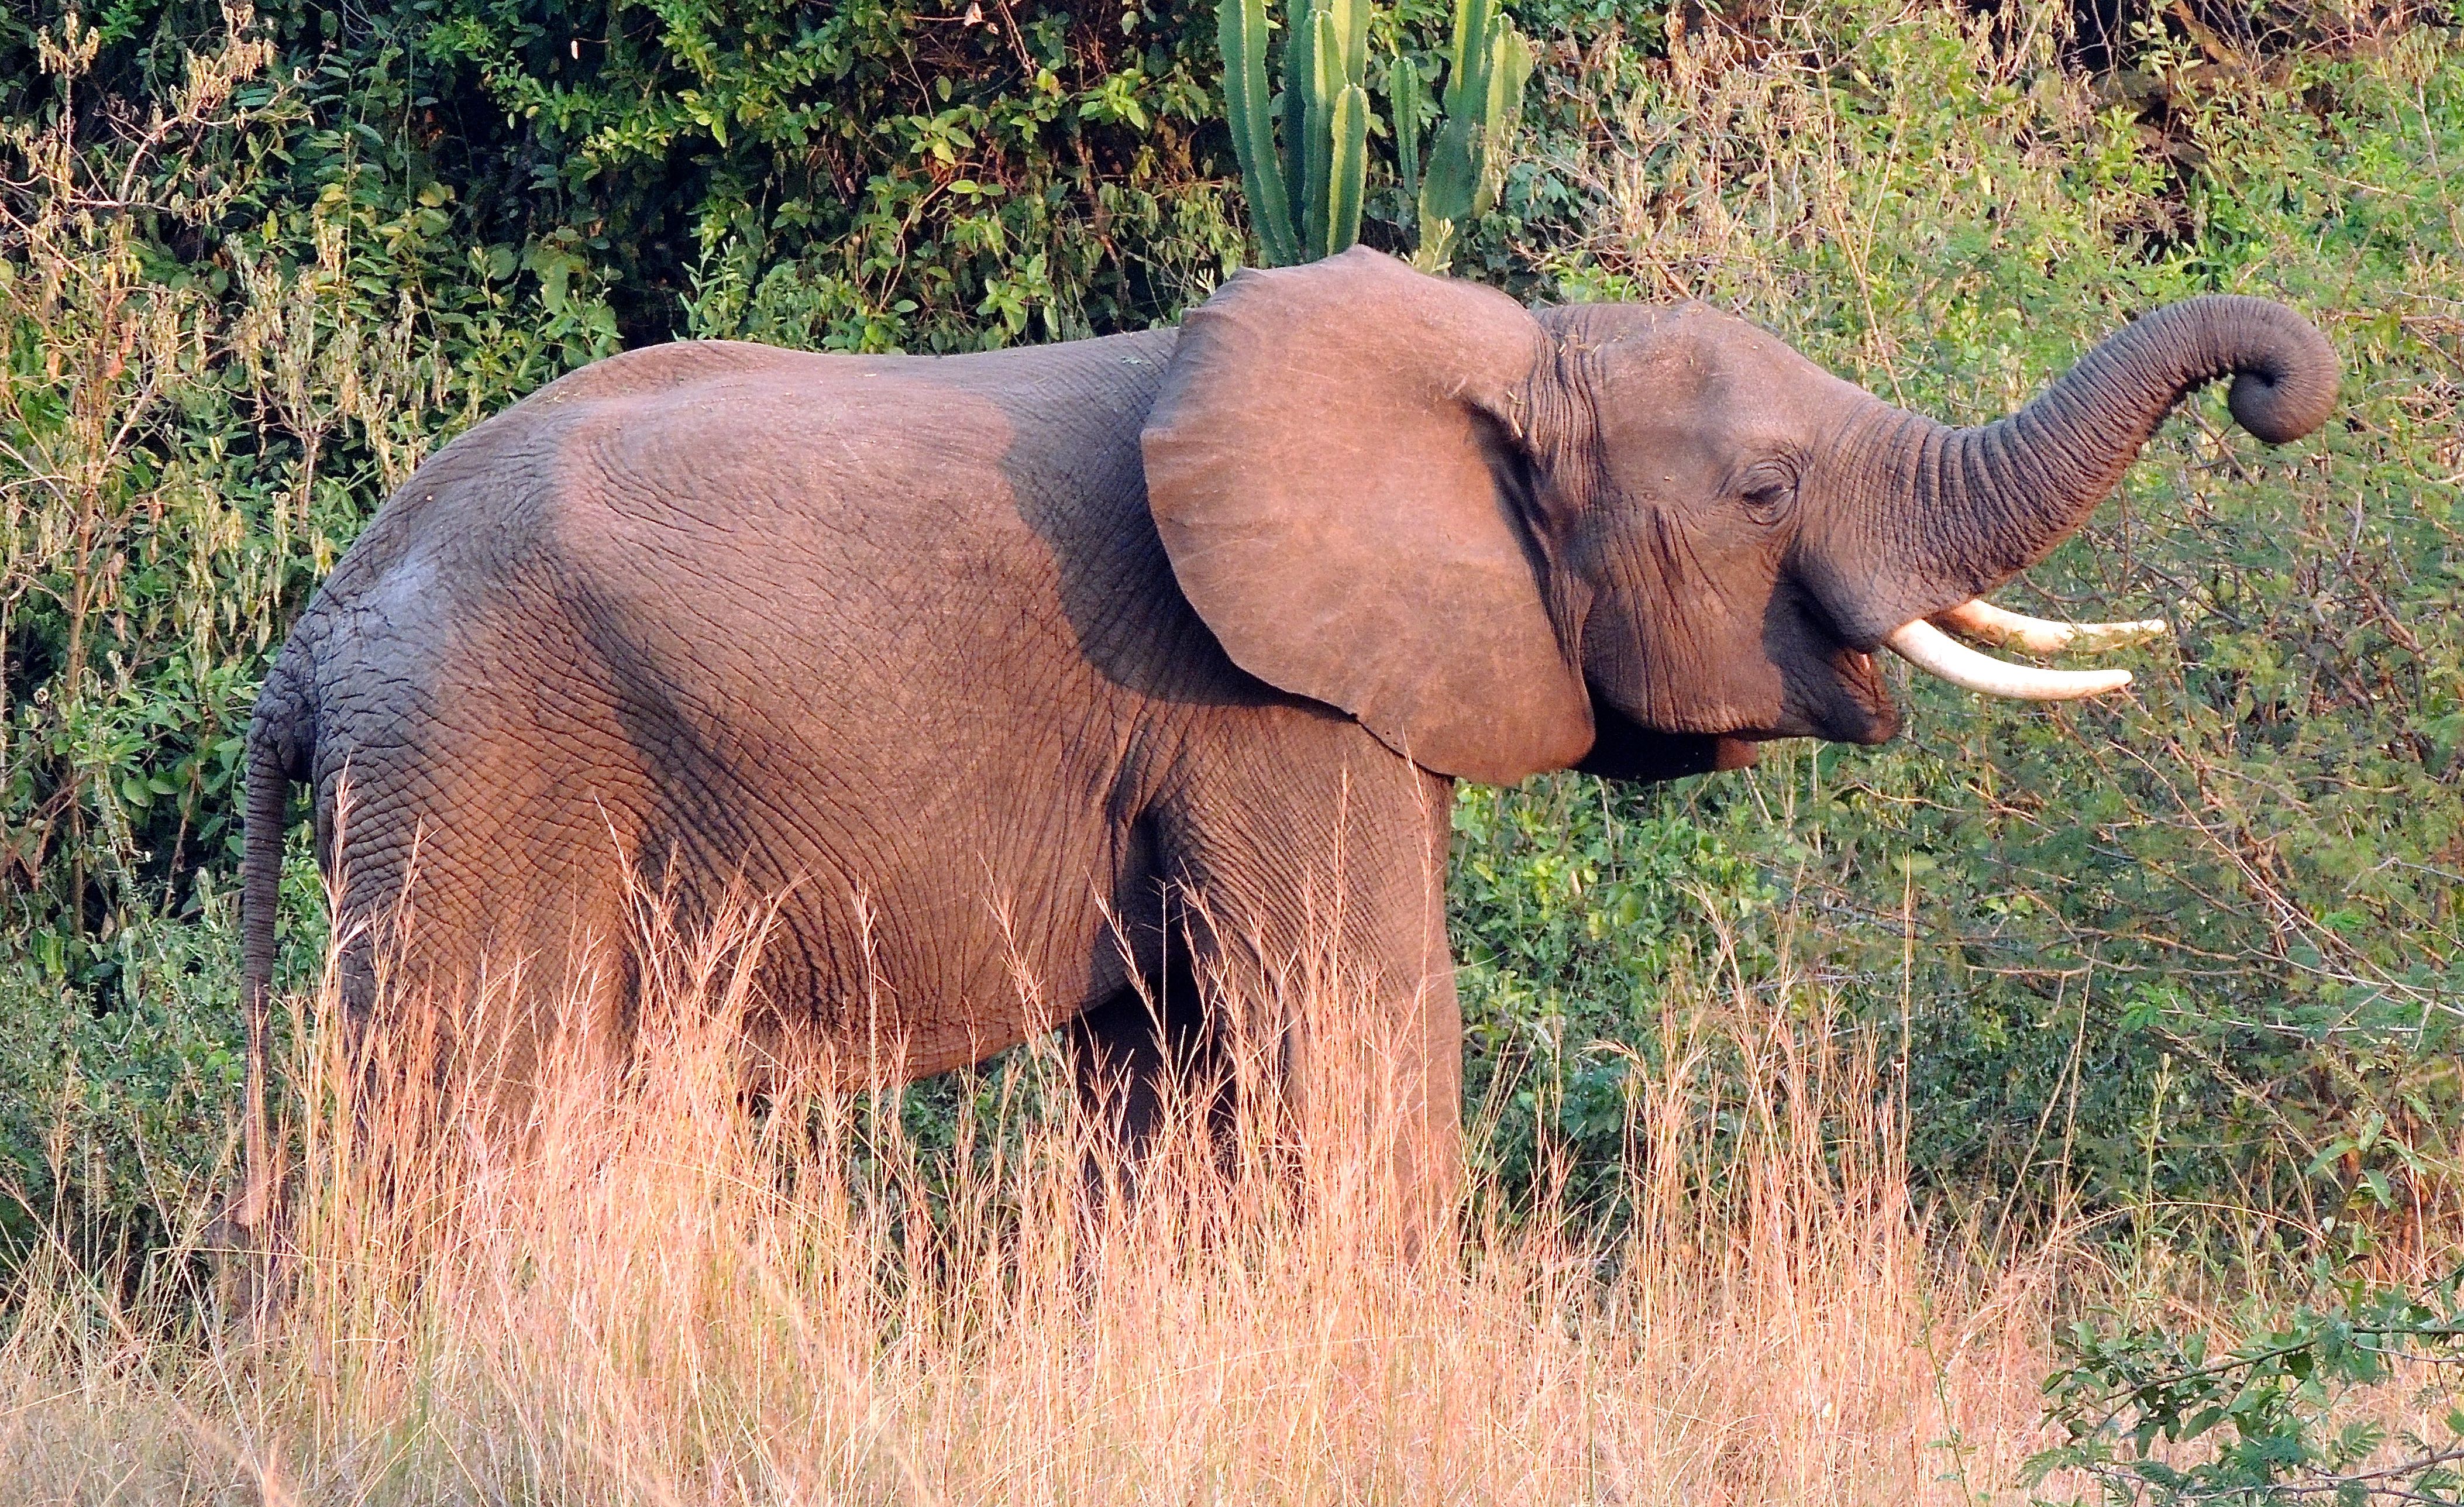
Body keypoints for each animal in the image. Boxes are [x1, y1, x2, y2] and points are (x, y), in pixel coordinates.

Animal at [240, 247, 2335, 1231]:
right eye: (1757, 489)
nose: (2276, 394)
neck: (1500, 348)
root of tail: (315, 631)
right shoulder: (1251, 700)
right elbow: (1357, 1031)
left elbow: (1172, 1084)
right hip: (483, 748)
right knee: (470, 1088)